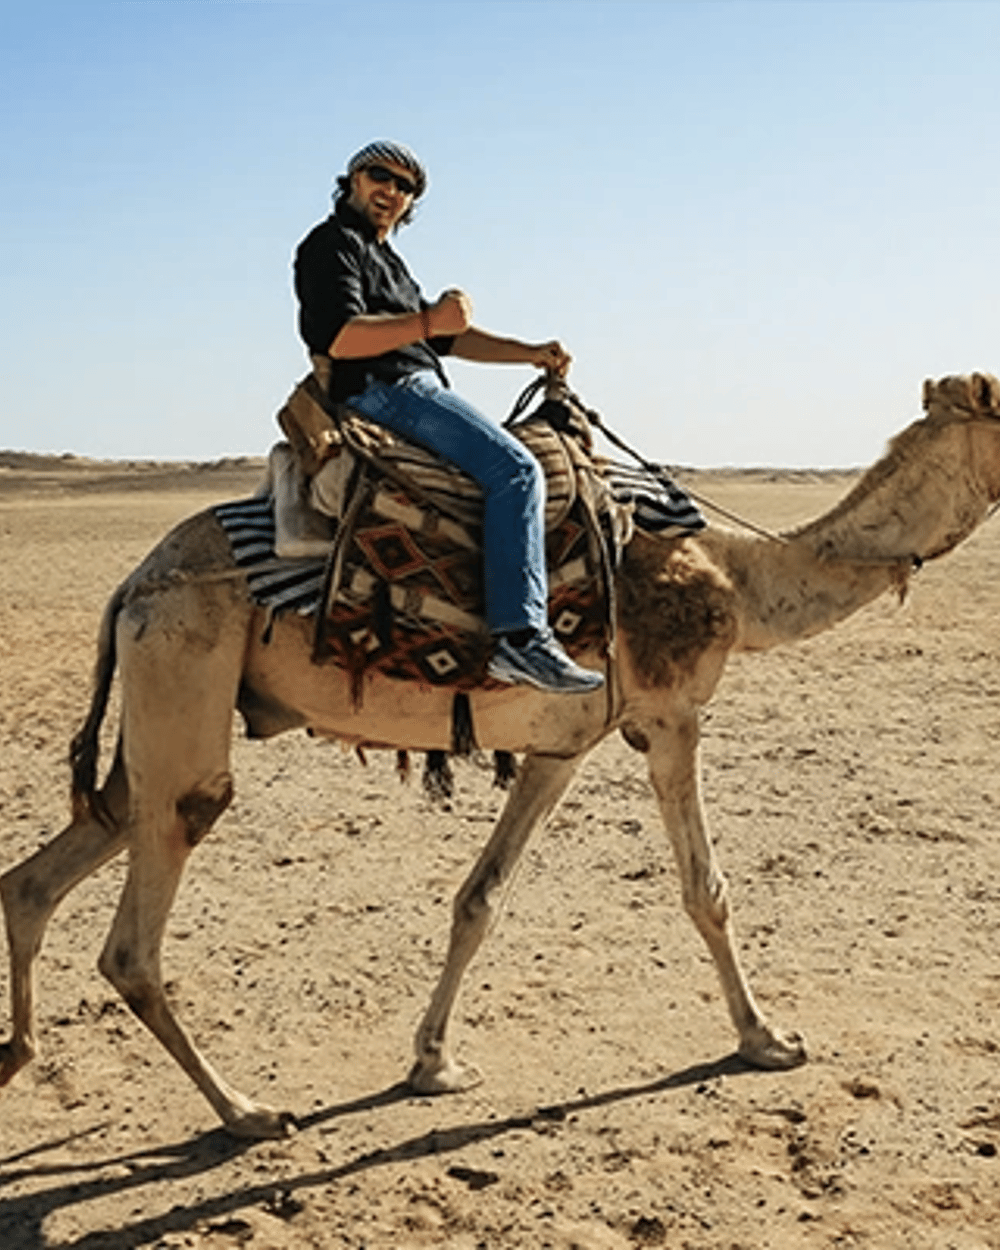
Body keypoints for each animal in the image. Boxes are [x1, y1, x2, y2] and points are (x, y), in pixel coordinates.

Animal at [2, 372, 999, 1140]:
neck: (740, 579)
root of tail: (133, 583)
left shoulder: (566, 744)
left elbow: (480, 898)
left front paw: (433, 1064)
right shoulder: (673, 714)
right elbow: (705, 891)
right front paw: (768, 1040)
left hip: (156, 722)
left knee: (45, 871)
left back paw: (20, 1053)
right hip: (184, 670)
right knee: (137, 933)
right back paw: (246, 1112)